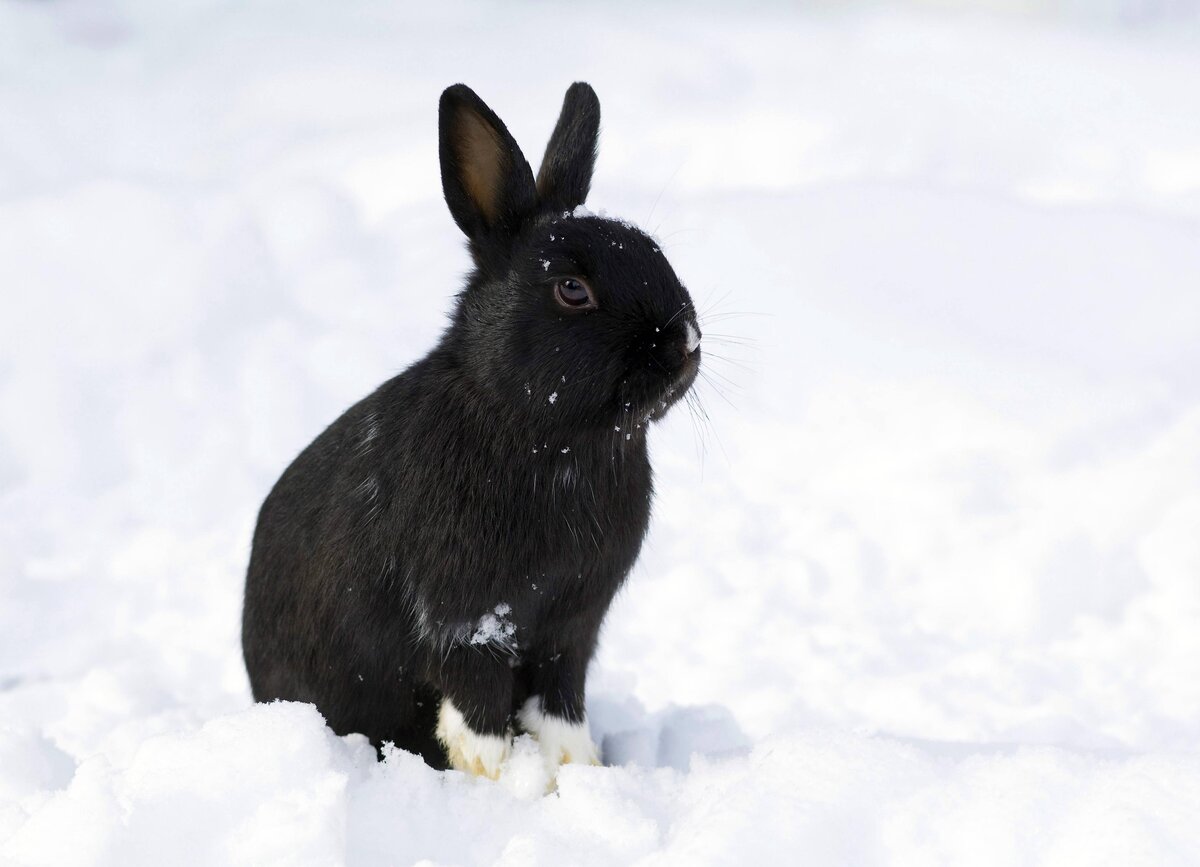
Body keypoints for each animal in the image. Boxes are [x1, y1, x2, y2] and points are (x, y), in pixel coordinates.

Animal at [243, 82, 700, 778]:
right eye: (572, 289)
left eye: (658, 253)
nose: (686, 345)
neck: (554, 441)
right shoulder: (467, 621)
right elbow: (478, 711)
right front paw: (503, 781)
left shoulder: (571, 627)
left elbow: (561, 706)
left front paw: (577, 772)